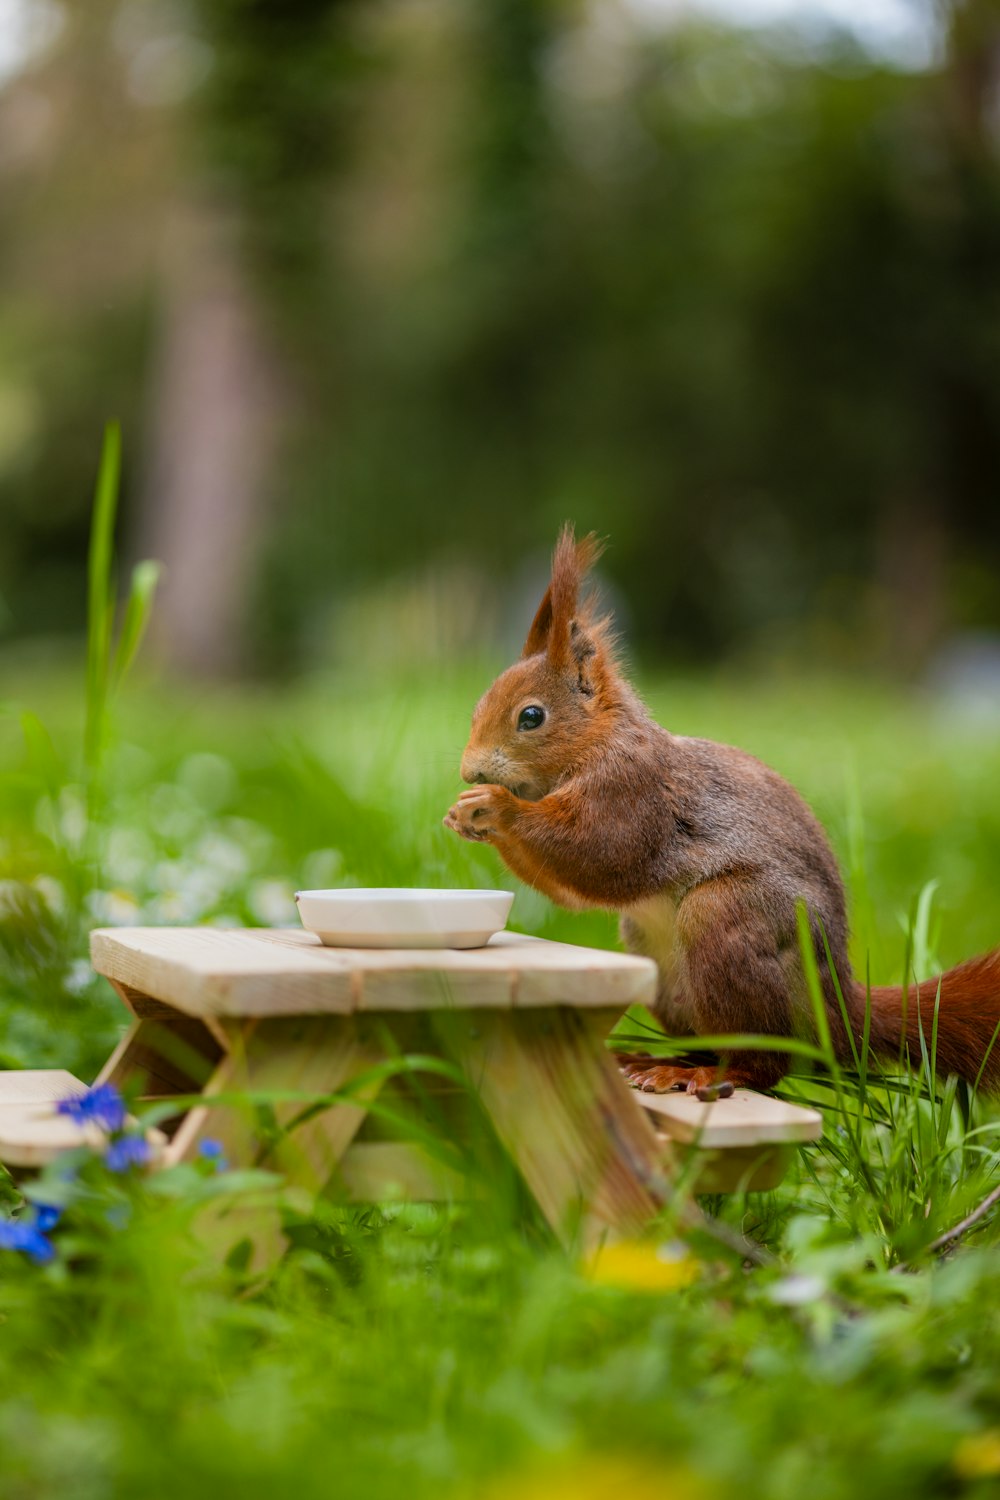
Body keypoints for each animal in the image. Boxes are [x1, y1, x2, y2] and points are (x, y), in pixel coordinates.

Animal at [446, 531, 1000, 1104]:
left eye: (531, 717)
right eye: (478, 708)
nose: (469, 771)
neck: (596, 741)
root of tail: (839, 1012)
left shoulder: (633, 791)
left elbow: (600, 854)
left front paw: (495, 808)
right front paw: (465, 814)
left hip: (727, 920)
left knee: (765, 1062)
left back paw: (709, 1075)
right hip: (657, 960)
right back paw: (658, 1062)